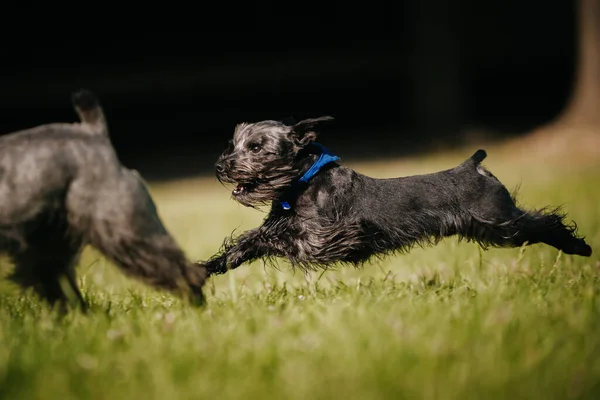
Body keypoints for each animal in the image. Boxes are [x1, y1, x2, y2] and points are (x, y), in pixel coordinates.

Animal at [200, 117, 592, 276]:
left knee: (545, 222)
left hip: (500, 221)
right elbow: (251, 240)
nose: (220, 167)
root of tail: (474, 165)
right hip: (492, 228)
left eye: (255, 147)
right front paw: (210, 267)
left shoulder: (322, 239)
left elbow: (279, 238)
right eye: (234, 143)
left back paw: (580, 247)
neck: (301, 183)